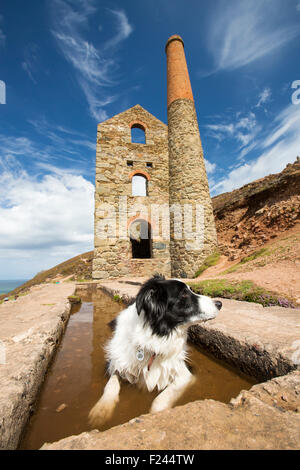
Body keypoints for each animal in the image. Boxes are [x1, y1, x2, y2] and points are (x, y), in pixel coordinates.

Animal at [88, 274, 221, 428]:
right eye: (184, 294)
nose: (219, 303)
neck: (155, 337)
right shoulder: (117, 362)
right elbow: (111, 384)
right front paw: (101, 410)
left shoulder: (184, 374)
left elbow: (160, 400)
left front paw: (155, 416)